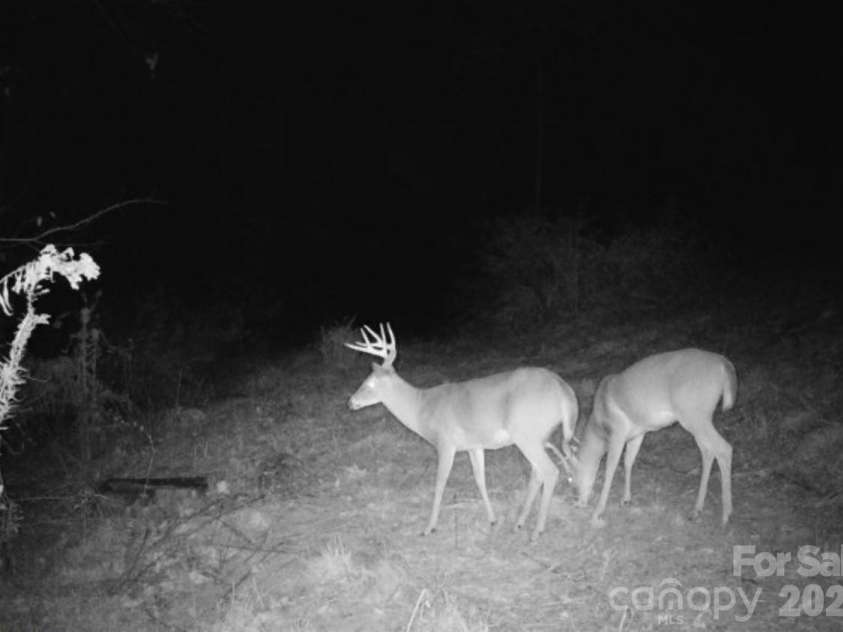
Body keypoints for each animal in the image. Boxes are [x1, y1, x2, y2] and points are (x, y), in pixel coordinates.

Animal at [345, 323, 578, 541]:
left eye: (369, 383)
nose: (351, 402)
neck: (422, 408)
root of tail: (564, 391)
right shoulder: (474, 446)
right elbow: (480, 479)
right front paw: (492, 520)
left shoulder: (446, 443)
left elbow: (440, 482)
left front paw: (429, 527)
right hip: (537, 436)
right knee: (537, 473)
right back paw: (519, 523)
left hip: (526, 433)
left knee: (550, 472)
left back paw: (537, 531)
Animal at [575, 349, 737, 528]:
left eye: (573, 475)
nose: (579, 501)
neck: (599, 425)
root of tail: (724, 364)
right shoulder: (638, 434)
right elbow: (628, 462)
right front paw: (626, 499)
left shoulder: (618, 432)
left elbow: (611, 468)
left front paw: (597, 512)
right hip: (699, 418)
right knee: (708, 452)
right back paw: (697, 509)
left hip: (694, 413)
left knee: (724, 448)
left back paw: (726, 515)